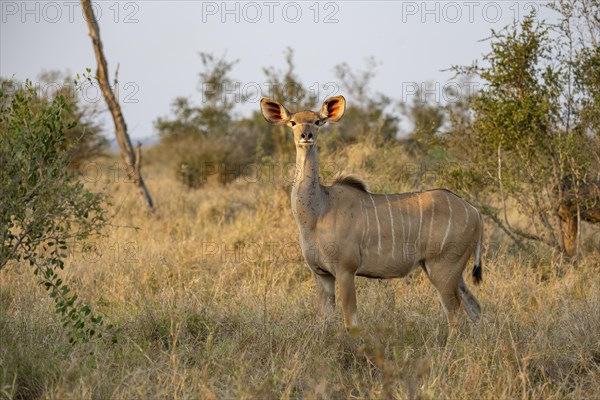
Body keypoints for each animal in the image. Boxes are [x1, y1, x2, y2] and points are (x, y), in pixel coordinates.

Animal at [260, 96, 486, 332]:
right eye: (293, 122)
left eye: (318, 121)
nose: (306, 136)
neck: (317, 212)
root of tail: (475, 212)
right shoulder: (322, 274)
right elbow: (325, 321)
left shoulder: (346, 270)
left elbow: (351, 323)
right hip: (451, 271)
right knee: (475, 308)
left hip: (442, 267)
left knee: (456, 316)